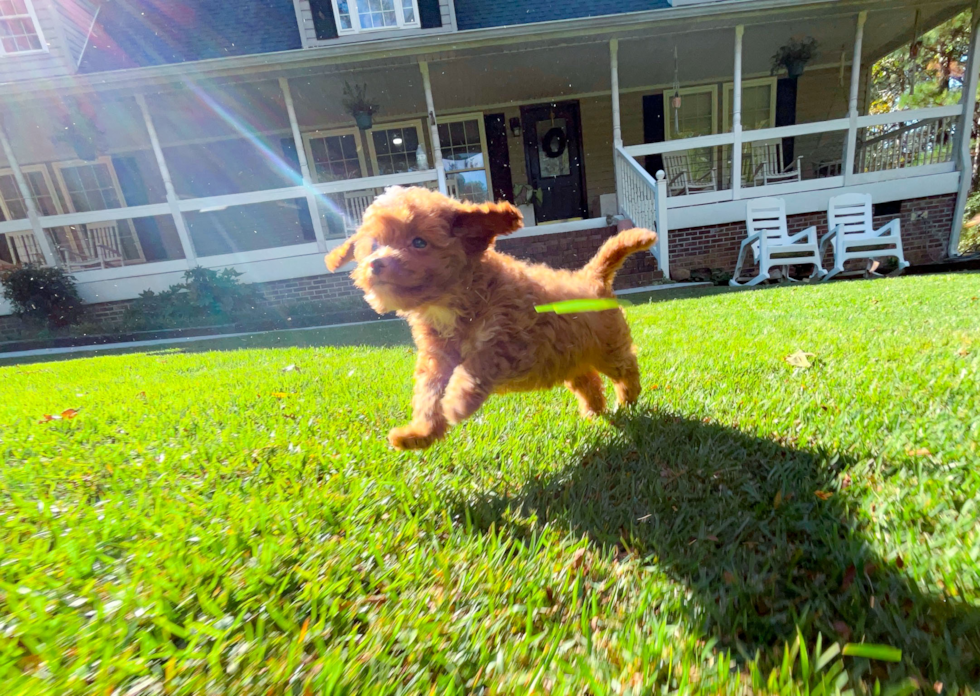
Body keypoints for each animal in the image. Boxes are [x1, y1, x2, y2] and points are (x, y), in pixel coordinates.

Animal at [326, 185, 656, 448]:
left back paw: (628, 398)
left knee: (626, 366)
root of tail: (591, 277)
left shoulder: (513, 340)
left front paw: (456, 401)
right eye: (374, 245)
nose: (375, 264)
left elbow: (479, 363)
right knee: (588, 381)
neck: (452, 304)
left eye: (419, 242)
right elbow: (428, 395)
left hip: (608, 348)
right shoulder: (436, 360)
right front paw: (418, 433)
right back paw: (594, 411)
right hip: (569, 358)